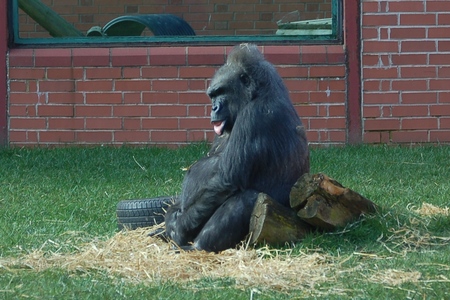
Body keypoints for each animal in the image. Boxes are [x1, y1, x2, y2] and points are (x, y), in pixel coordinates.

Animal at [165, 44, 310, 251]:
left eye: (221, 92)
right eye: (212, 95)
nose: (214, 108)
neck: (259, 93)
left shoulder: (254, 117)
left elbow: (227, 179)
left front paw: (180, 227)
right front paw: (171, 218)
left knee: (246, 198)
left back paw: (198, 246)